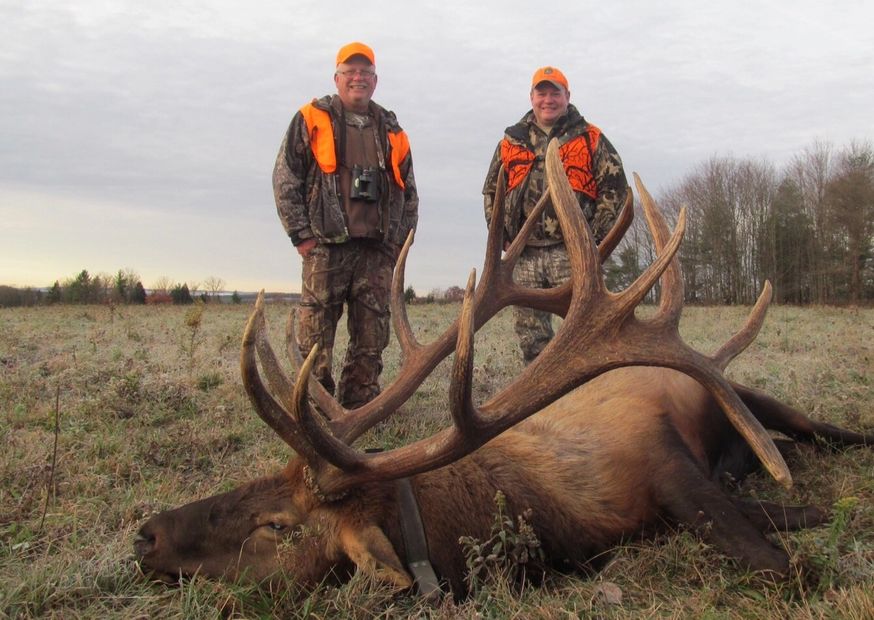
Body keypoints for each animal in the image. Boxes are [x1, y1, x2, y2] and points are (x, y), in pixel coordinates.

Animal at [134, 140, 872, 598]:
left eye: (278, 526)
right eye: (257, 478)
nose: (145, 534)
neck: (552, 515)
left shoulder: (665, 462)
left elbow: (778, 563)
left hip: (747, 393)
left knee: (818, 430)